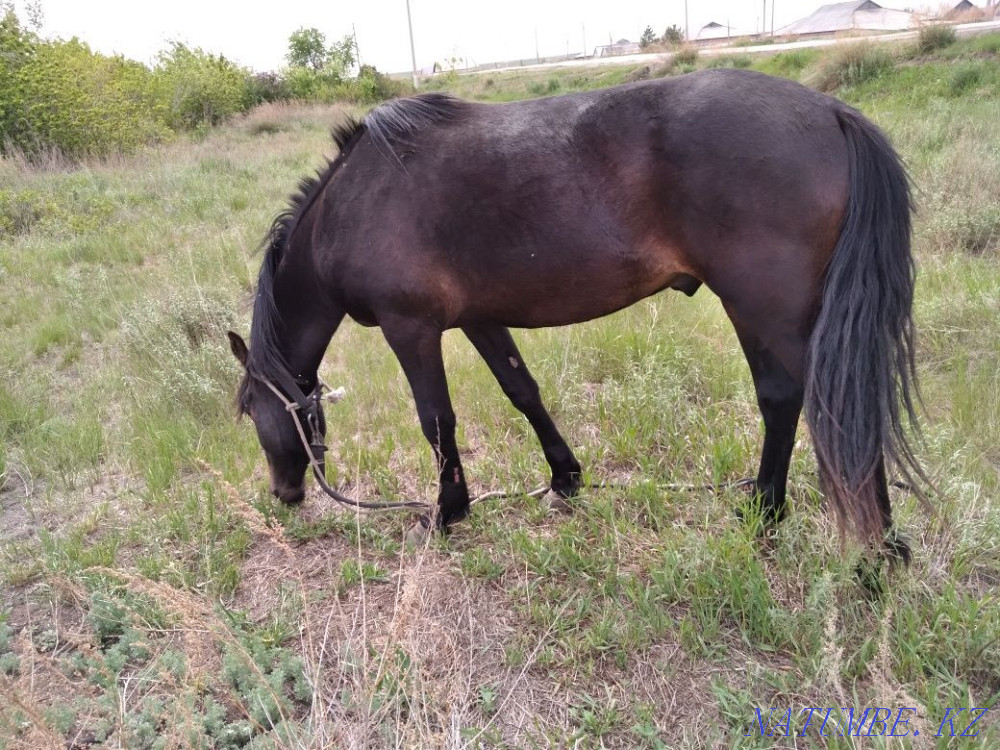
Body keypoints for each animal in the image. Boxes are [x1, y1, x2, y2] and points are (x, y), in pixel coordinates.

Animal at [228, 68, 926, 560]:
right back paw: (813, 525)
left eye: (253, 412)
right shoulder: (481, 318)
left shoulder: (412, 328)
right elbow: (523, 392)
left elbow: (437, 421)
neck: (352, 205)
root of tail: (831, 111)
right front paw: (564, 478)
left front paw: (448, 511)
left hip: (761, 304)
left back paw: (836, 538)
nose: (284, 494)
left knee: (815, 402)